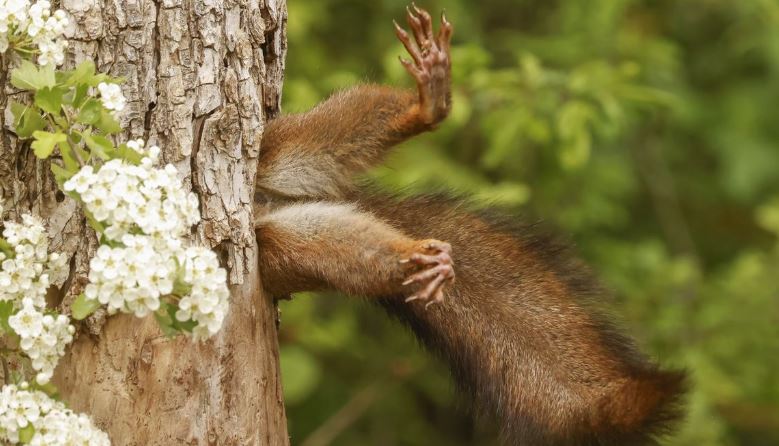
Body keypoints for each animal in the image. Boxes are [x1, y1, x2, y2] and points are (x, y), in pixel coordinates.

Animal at [253, 5, 684, 444]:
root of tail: (268, 204)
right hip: (280, 247)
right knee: (341, 251)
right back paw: (417, 260)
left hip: (277, 147)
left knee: (330, 133)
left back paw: (428, 104)